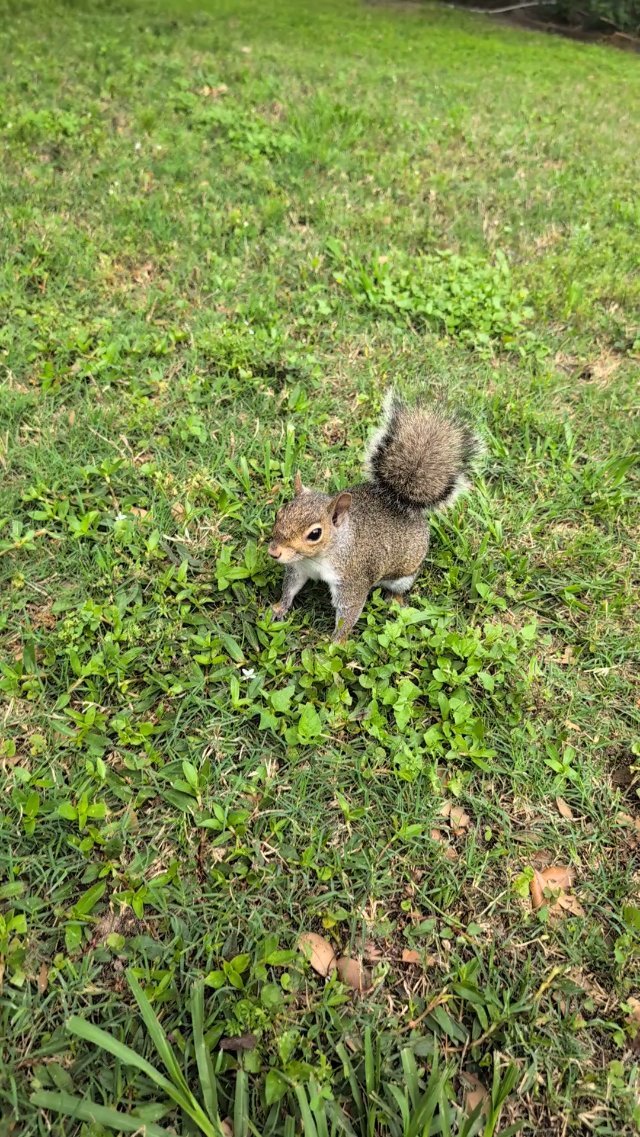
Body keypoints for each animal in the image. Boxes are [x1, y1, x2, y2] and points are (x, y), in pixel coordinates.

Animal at [268, 391, 479, 643]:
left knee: (401, 586)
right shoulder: (299, 567)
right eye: (279, 513)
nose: (274, 552)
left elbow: (349, 611)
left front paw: (335, 643)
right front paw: (279, 607)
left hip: (405, 573)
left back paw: (395, 600)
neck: (321, 555)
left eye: (315, 534)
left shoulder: (352, 579)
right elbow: (290, 586)